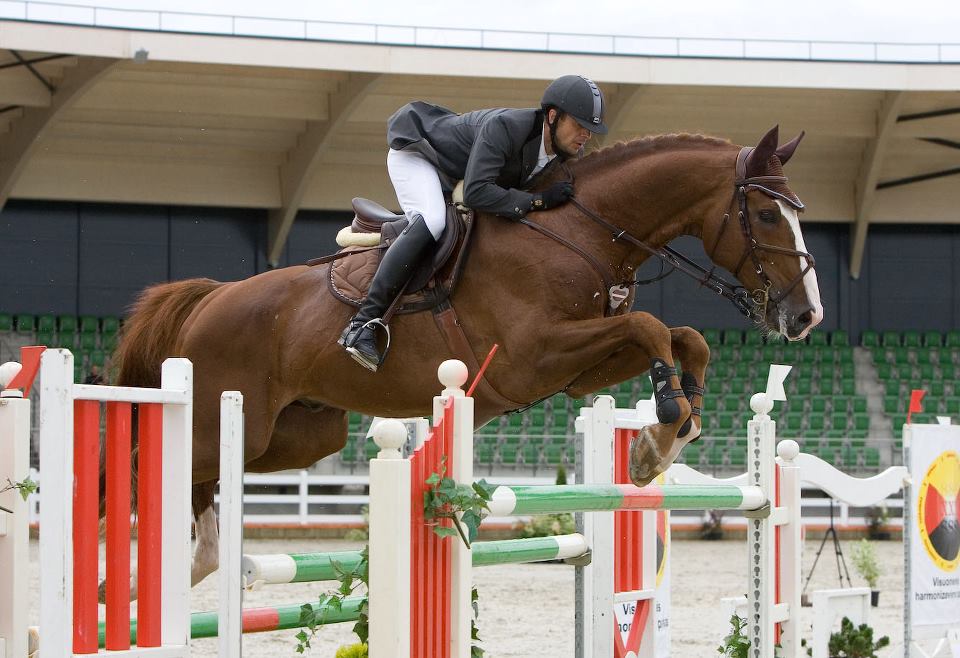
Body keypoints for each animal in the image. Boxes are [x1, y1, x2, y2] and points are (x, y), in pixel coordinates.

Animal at [110, 123, 816, 588]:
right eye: (764, 215)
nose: (806, 316)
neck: (577, 229)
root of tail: (210, 297)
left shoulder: (574, 369)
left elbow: (682, 337)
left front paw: (666, 434)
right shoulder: (534, 355)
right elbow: (649, 326)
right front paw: (665, 422)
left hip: (297, 435)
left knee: (205, 484)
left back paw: (190, 566)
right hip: (224, 418)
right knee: (154, 462)